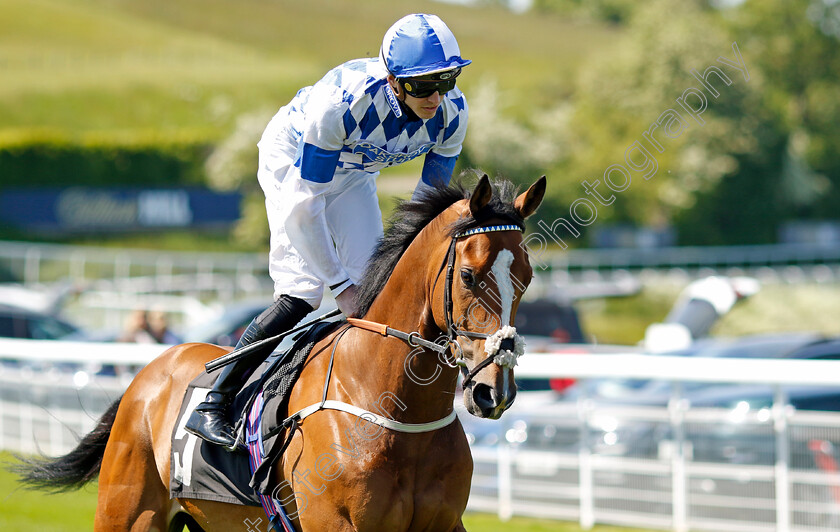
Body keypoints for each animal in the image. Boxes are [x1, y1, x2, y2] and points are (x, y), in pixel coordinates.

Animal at [16, 172, 548, 528]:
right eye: (469, 276)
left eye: (526, 277)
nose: (494, 391)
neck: (393, 407)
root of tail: (148, 374)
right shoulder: (335, 525)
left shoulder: (443, 523)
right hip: (127, 512)